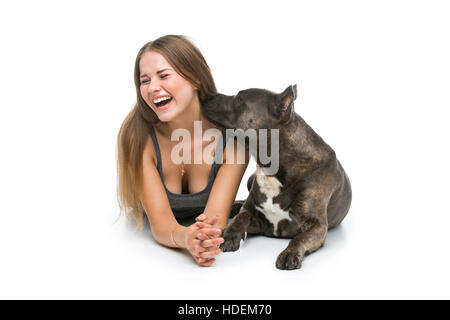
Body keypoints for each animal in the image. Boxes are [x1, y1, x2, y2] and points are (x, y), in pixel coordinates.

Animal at [201, 85, 352, 270]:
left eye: (239, 99)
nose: (206, 96)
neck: (273, 169)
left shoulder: (317, 226)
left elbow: (299, 238)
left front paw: (289, 253)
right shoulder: (255, 216)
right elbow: (241, 216)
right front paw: (229, 234)